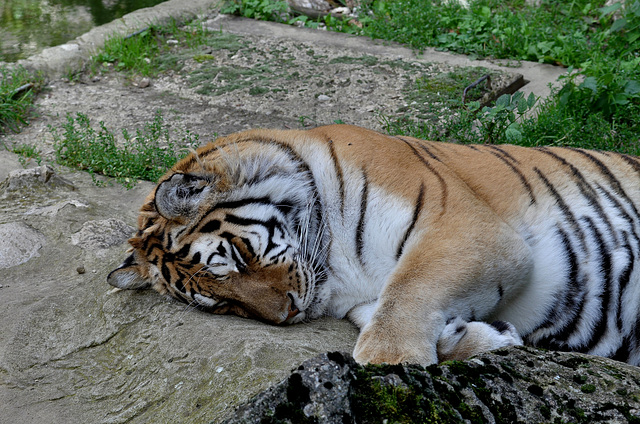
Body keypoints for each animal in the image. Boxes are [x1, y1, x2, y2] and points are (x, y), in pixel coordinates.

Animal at [107, 124, 640, 366]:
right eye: (218, 304)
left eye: (235, 259)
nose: (285, 315)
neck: (337, 271)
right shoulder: (361, 299)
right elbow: (388, 308)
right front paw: (486, 337)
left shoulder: (469, 230)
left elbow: (409, 291)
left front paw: (391, 363)